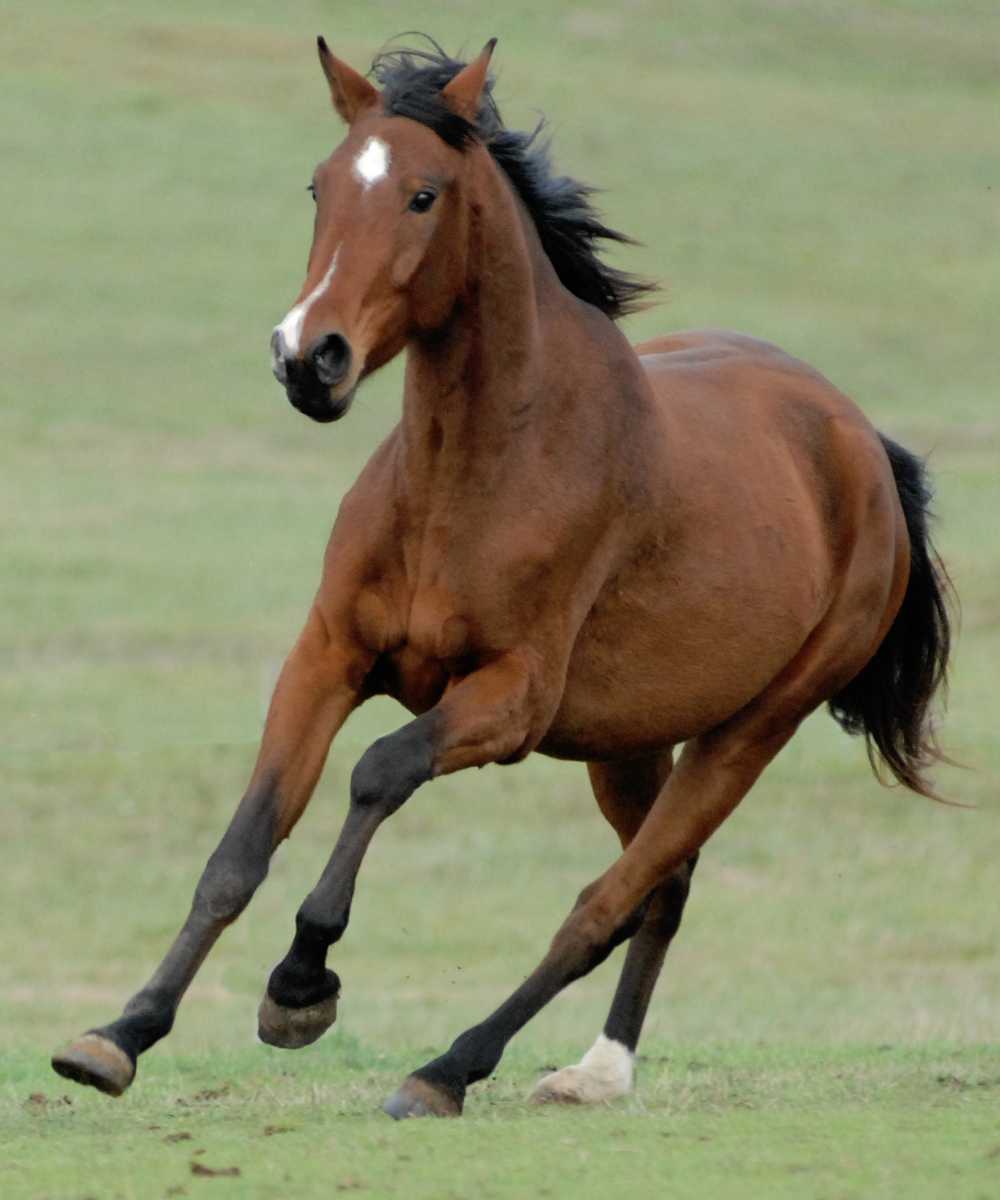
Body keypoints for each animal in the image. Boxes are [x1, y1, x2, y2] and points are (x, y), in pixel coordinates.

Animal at [54, 39, 950, 1123]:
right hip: (630, 742)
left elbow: (380, 771)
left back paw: (448, 1069)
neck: (472, 475)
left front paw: (300, 987)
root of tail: (864, 445)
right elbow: (241, 849)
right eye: (318, 185)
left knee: (607, 902)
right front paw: (118, 1036)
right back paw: (597, 1071)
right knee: (664, 886)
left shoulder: (510, 701)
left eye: (423, 195)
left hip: (751, 731)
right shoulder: (326, 658)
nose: (308, 359)